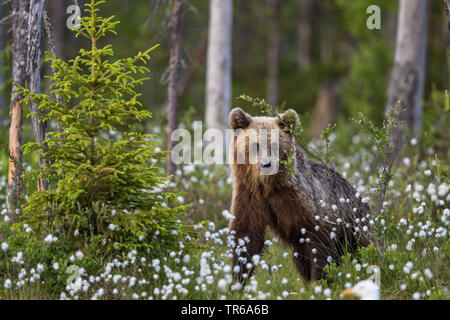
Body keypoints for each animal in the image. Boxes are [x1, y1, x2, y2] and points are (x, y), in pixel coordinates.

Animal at [229, 107, 372, 282]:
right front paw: (237, 279)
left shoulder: (301, 200)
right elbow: (246, 235)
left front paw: (319, 280)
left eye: (274, 145)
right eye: (256, 144)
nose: (266, 164)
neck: (267, 186)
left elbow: (319, 243)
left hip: (357, 229)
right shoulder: (250, 195)